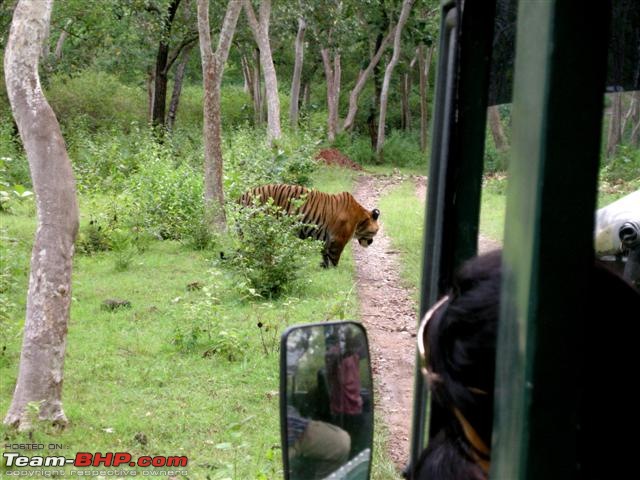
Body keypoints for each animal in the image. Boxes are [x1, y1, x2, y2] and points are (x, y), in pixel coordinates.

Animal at [240, 183, 380, 266]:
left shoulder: (327, 239)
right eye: (376, 232)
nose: (371, 242)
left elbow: (325, 254)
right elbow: (334, 258)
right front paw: (334, 271)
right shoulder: (338, 239)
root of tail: (243, 195)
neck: (360, 219)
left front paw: (324, 268)